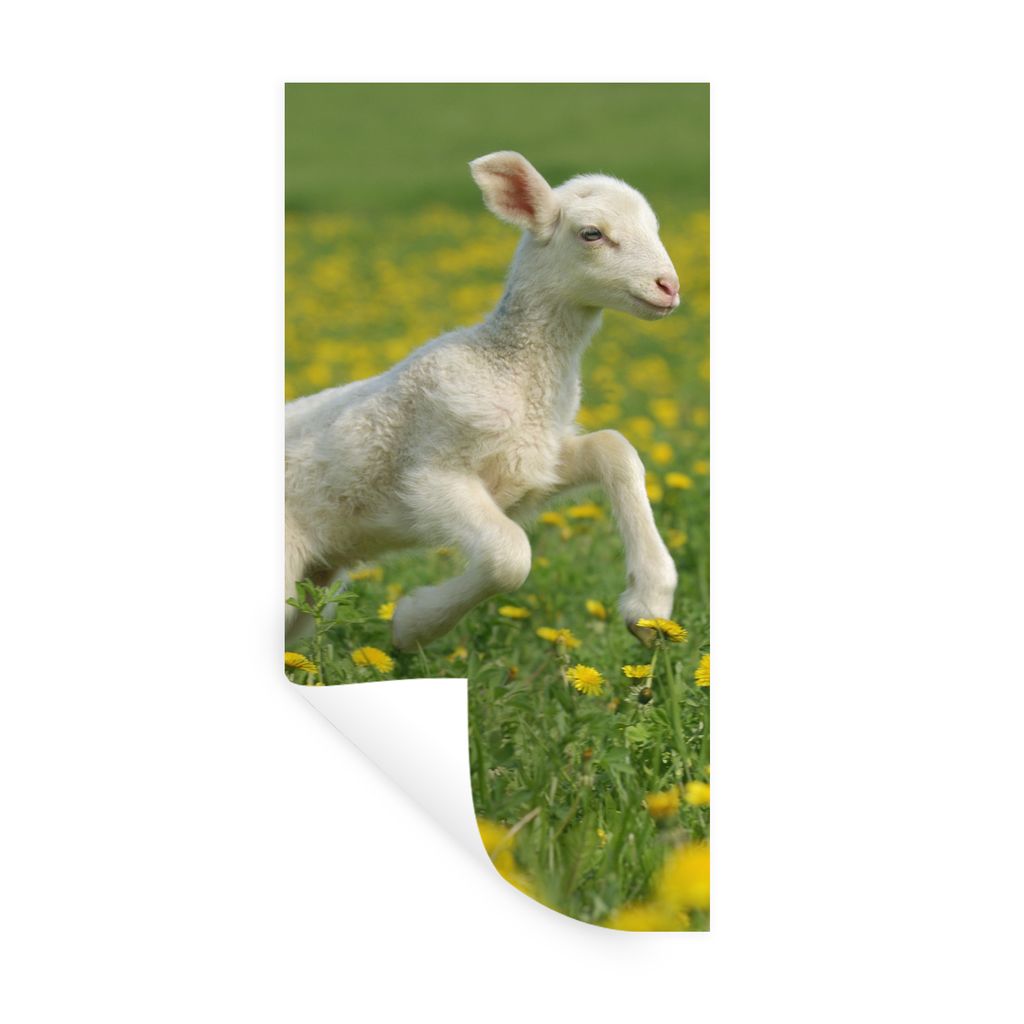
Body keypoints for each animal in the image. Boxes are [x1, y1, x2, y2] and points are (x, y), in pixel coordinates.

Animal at [286, 151, 682, 652]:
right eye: (591, 233)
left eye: (655, 227)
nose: (669, 287)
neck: (510, 369)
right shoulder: (431, 476)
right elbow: (511, 556)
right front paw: (413, 623)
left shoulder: (533, 467)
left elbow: (615, 449)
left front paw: (649, 606)